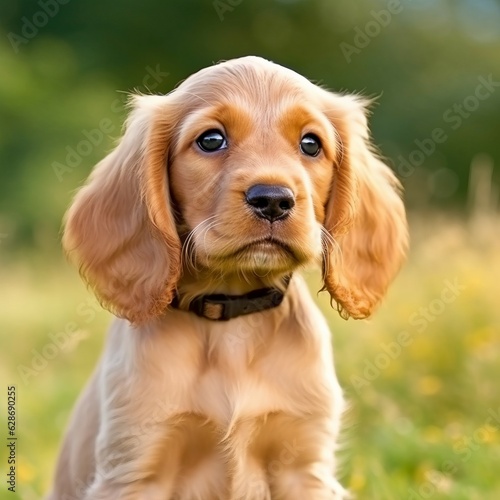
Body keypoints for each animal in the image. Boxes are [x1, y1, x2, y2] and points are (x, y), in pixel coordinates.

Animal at [49, 55, 410, 500]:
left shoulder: (304, 466)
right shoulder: (135, 465)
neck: (233, 319)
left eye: (311, 144)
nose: (273, 199)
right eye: (211, 140)